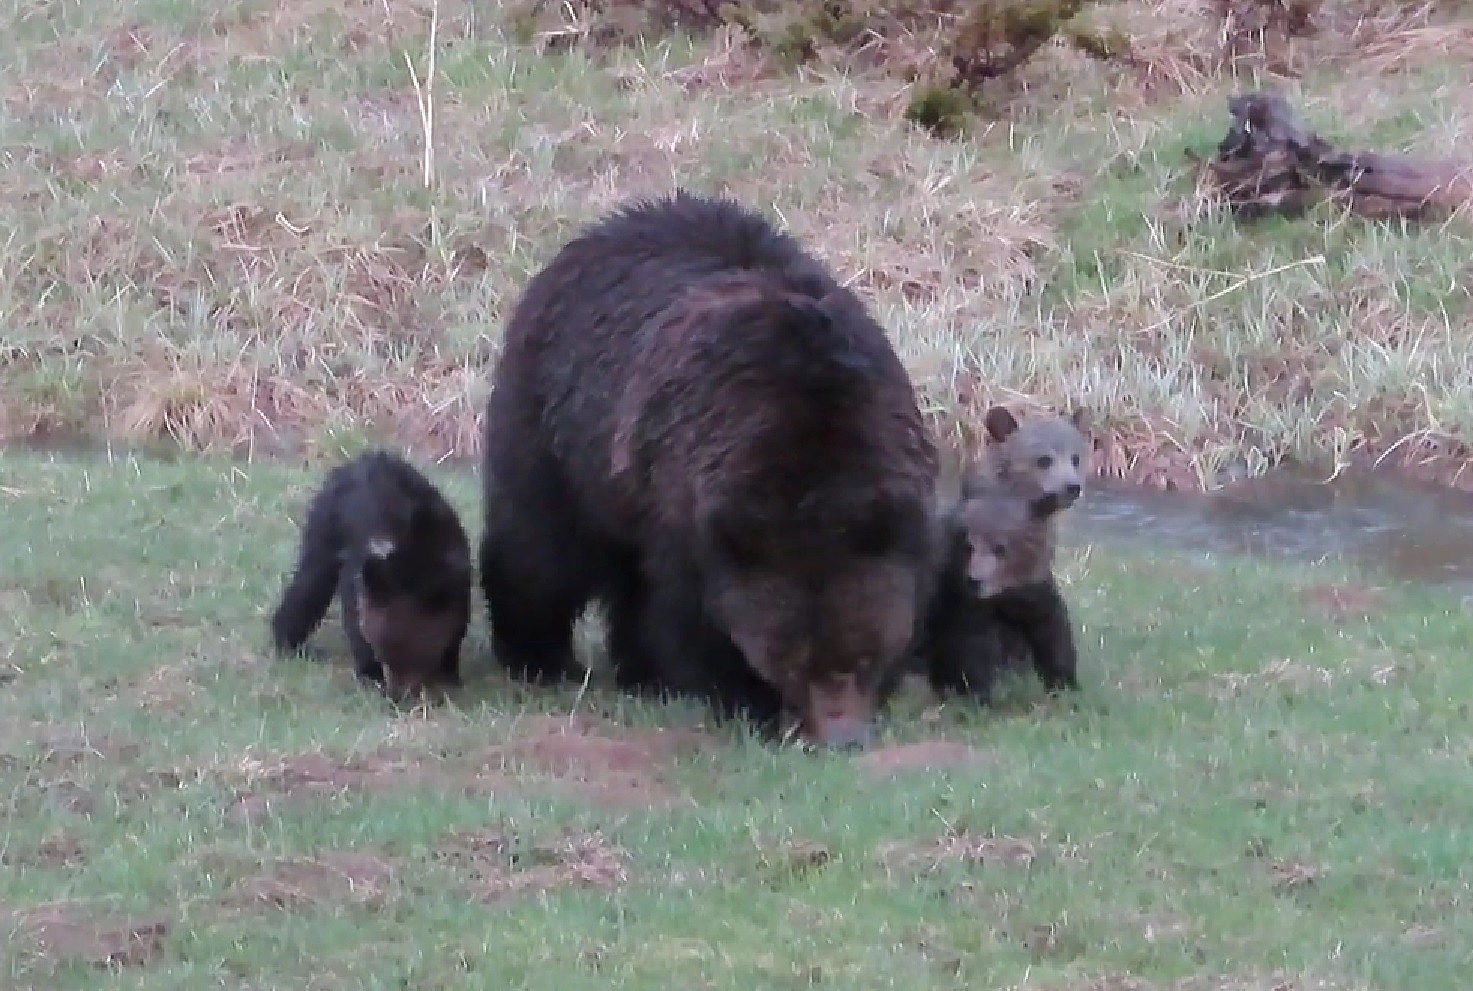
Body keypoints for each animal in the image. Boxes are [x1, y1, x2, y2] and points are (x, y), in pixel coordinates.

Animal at [268, 447, 468, 703]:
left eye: (417, 655)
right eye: (382, 651)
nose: (396, 696)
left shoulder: (457, 573)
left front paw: (448, 672)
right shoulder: (361, 571)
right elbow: (354, 618)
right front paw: (371, 675)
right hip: (324, 526)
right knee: (310, 582)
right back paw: (289, 642)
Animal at [483, 189, 942, 745]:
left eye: (863, 656)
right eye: (794, 664)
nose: (843, 737)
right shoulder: (689, 505)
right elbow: (694, 614)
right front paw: (744, 698)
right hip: (558, 425)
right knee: (539, 545)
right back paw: (540, 657)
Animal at [913, 485, 1078, 703]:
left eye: (1000, 547)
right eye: (969, 545)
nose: (975, 579)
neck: (1002, 597)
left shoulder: (1034, 599)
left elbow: (1054, 636)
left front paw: (1065, 684)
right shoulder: (961, 607)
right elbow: (970, 654)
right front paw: (981, 695)